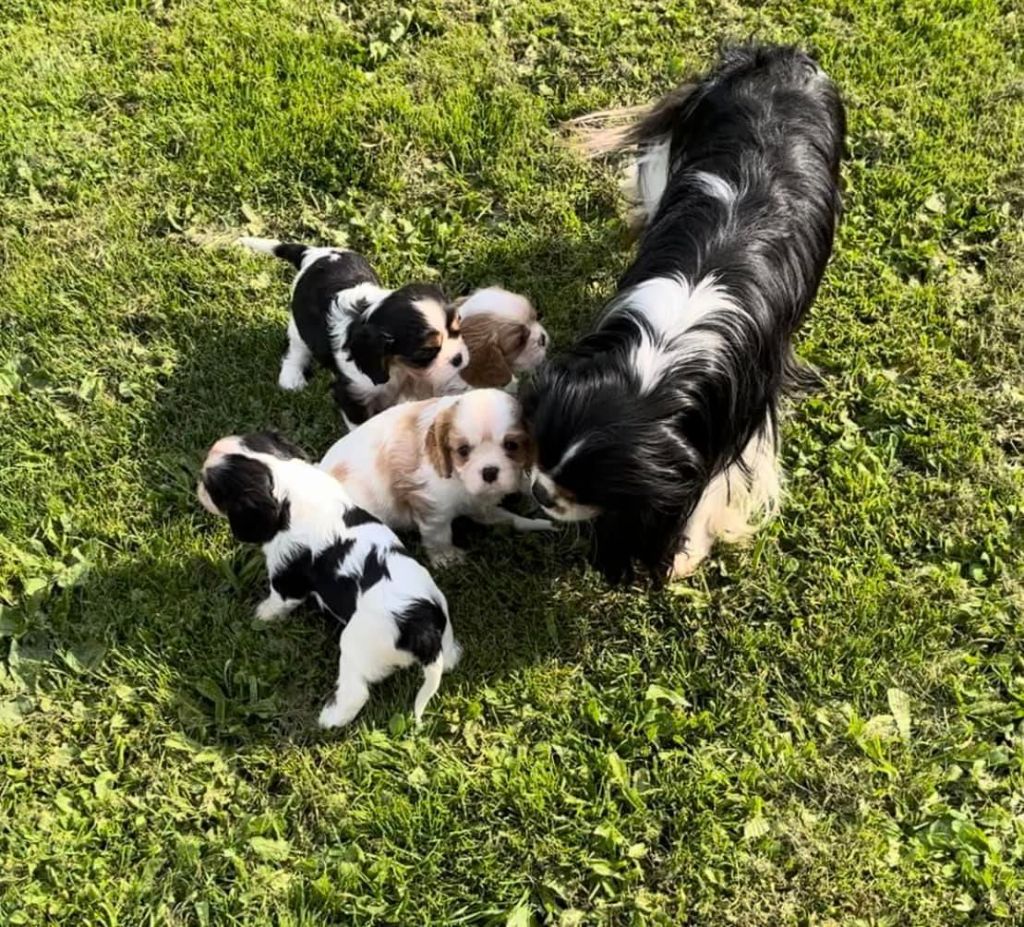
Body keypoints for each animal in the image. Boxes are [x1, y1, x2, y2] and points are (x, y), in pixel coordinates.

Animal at [195, 430, 460, 725]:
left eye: (211, 487)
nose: (198, 486)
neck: (287, 486)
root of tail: (421, 625)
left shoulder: (286, 572)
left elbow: (278, 600)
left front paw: (261, 615)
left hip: (355, 646)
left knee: (356, 693)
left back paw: (331, 719)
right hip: (443, 627)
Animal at [317, 385, 552, 561]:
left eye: (512, 445)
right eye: (463, 451)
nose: (489, 471)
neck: (459, 480)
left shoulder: (478, 504)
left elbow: (508, 517)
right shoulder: (433, 506)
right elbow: (439, 534)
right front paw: (446, 558)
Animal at [524, 43, 843, 581]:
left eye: (589, 490)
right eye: (541, 455)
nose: (539, 492)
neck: (664, 355)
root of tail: (775, 58)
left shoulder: (739, 421)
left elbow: (715, 486)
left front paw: (684, 552)